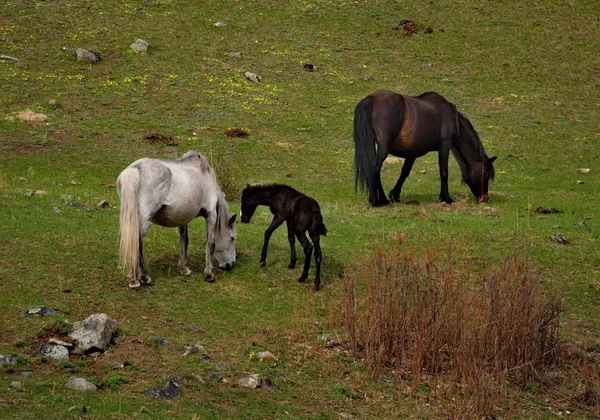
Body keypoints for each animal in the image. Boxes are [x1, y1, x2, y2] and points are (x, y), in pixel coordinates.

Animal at [117, 152, 237, 288]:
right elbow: (211, 244)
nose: (231, 264)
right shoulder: (211, 213)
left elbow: (184, 241)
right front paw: (209, 274)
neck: (205, 177)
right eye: (232, 238)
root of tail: (134, 169)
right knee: (137, 242)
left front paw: (184, 269)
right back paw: (141, 278)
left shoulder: (183, 219)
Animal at [352, 90, 496, 207]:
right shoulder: (445, 145)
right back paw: (379, 200)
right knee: (375, 169)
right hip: (383, 148)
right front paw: (446, 198)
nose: (485, 199)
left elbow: (404, 172)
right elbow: (444, 172)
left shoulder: (412, 153)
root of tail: (370, 98)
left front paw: (395, 195)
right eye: (486, 174)